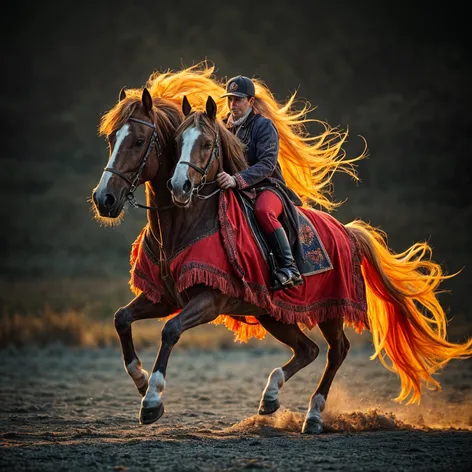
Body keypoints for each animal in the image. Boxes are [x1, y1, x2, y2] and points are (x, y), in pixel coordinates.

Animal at [92, 81, 472, 432]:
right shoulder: (166, 297)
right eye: (112, 139)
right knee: (308, 350)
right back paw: (271, 396)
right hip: (273, 315)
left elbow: (170, 330)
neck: (184, 223)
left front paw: (152, 400)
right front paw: (141, 381)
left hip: (332, 309)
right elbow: (121, 318)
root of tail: (348, 232)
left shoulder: (210, 299)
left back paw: (313, 416)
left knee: (336, 351)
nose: (104, 199)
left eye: (139, 141)